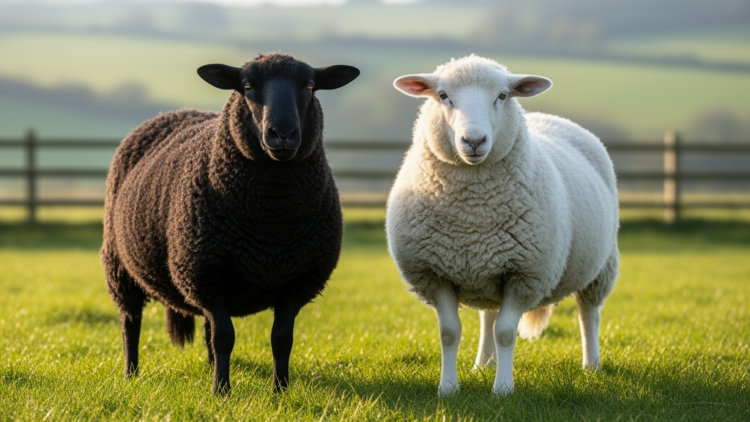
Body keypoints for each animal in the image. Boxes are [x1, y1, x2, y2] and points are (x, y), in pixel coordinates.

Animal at [100, 53, 359, 395]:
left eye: (310, 86)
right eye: (246, 86)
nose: (283, 134)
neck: (271, 218)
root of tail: (176, 112)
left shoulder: (298, 279)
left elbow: (281, 339)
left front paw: (280, 391)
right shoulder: (205, 273)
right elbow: (225, 337)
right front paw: (221, 392)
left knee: (206, 327)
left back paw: (210, 367)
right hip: (119, 266)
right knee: (131, 322)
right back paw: (131, 373)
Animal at [386, 55, 619, 397]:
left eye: (502, 96)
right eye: (443, 96)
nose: (474, 140)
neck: (472, 219)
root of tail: (550, 117)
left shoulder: (525, 275)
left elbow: (506, 332)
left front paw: (503, 389)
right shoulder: (433, 274)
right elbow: (449, 332)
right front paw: (448, 388)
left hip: (600, 266)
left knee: (588, 313)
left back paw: (591, 365)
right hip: (486, 269)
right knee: (488, 314)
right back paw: (483, 364)